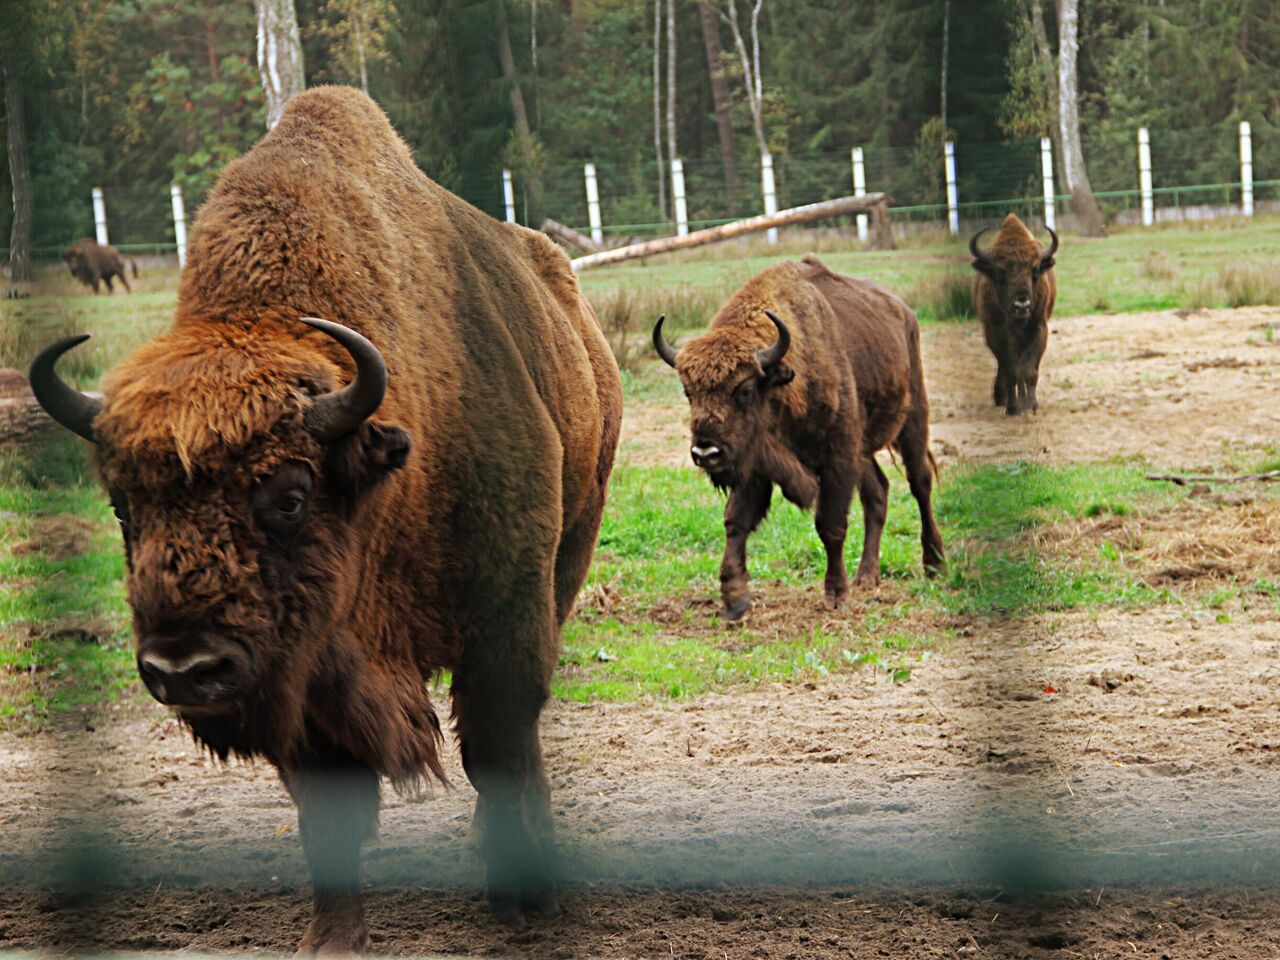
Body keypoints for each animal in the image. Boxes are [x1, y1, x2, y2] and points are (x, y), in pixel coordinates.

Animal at [32, 88, 622, 957]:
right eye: (122, 504)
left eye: (290, 495)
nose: (184, 669)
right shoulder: (305, 674)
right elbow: (329, 809)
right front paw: (331, 938)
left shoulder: (505, 618)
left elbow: (500, 749)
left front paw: (523, 900)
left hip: (572, 546)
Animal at [655, 253, 947, 624]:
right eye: (688, 392)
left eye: (745, 390)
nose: (706, 452)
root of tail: (904, 312)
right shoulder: (756, 464)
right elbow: (736, 521)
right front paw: (734, 599)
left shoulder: (837, 459)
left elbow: (830, 525)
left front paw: (836, 594)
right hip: (863, 449)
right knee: (877, 492)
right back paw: (867, 576)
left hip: (912, 421)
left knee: (920, 483)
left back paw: (935, 564)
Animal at [967, 212, 1059, 414]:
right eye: (1000, 272)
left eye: (1035, 270)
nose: (1021, 305)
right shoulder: (995, 333)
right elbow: (1010, 371)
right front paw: (1013, 408)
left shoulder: (1038, 329)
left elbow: (1029, 371)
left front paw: (1031, 406)